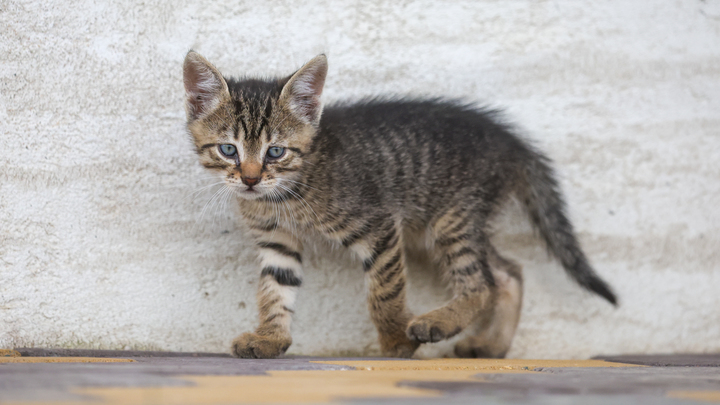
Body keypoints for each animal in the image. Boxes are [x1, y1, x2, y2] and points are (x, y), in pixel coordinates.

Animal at [183, 52, 616, 358]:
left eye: (275, 152)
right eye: (228, 150)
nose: (250, 179)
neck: (286, 191)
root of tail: (510, 140)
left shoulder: (378, 225)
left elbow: (385, 291)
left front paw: (396, 341)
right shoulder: (277, 240)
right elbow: (275, 289)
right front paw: (271, 338)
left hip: (452, 216)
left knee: (482, 282)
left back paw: (438, 323)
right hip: (449, 221)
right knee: (509, 272)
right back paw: (490, 345)